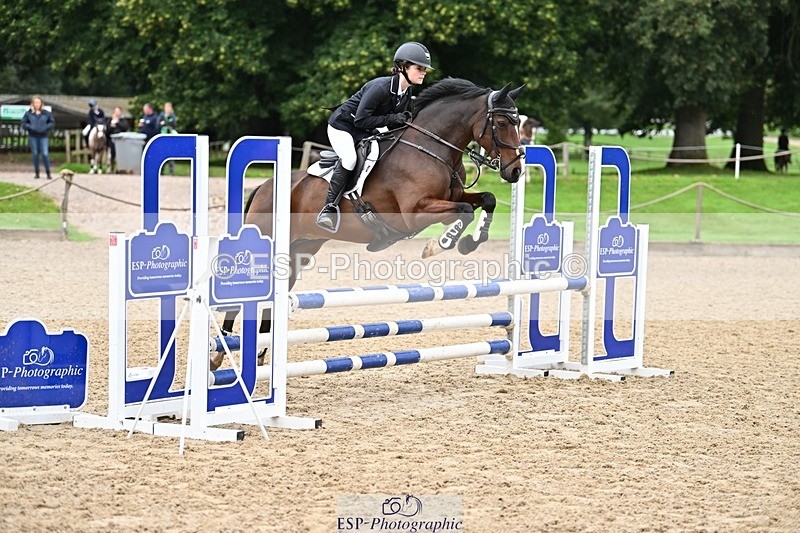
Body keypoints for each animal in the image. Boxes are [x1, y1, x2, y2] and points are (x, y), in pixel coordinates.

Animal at [215, 78, 525, 367]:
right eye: (501, 122)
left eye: (517, 122)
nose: (516, 170)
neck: (431, 148)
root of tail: (263, 188)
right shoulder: (415, 212)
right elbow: (464, 211)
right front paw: (439, 245)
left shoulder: (453, 196)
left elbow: (486, 200)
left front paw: (472, 242)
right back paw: (219, 354)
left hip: (299, 251)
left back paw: (259, 354)